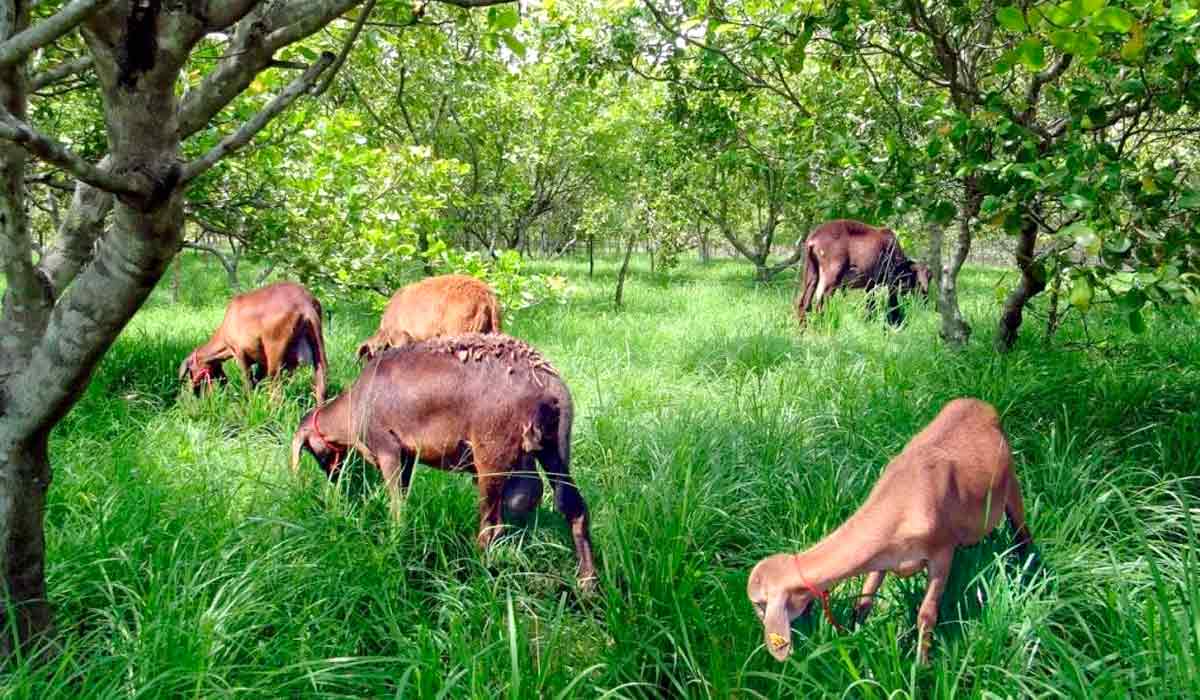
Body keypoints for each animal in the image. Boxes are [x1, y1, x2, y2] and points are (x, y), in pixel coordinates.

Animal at [286, 333, 595, 590]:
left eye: (313, 452)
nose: (333, 478)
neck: (351, 411)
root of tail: (551, 384)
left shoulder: (388, 449)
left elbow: (397, 506)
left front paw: (394, 545)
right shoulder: (408, 457)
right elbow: (404, 496)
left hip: (491, 454)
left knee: (491, 527)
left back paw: (475, 576)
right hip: (553, 448)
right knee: (574, 507)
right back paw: (587, 585)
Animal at [744, 401, 1027, 662]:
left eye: (759, 603)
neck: (902, 502)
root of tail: (979, 403)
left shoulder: (942, 552)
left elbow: (926, 615)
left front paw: (920, 667)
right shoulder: (883, 557)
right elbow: (863, 603)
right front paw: (857, 644)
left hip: (1012, 482)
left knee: (1023, 535)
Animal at [796, 218, 936, 326]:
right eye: (919, 281)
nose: (926, 299)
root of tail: (813, 239)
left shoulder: (870, 284)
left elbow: (870, 306)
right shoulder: (889, 283)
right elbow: (891, 305)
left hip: (811, 274)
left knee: (804, 304)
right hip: (831, 277)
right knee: (820, 304)